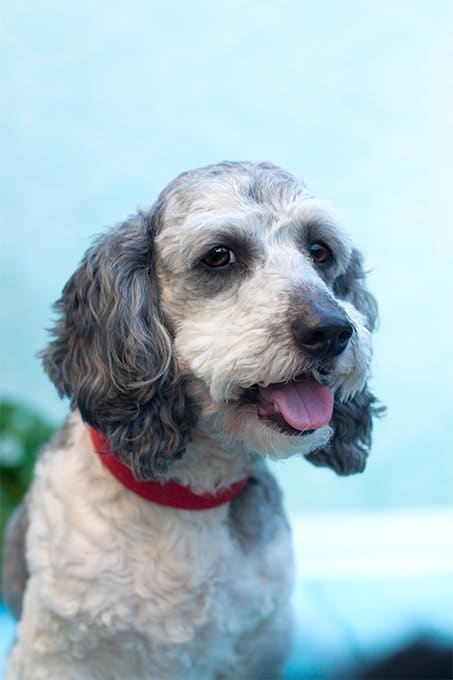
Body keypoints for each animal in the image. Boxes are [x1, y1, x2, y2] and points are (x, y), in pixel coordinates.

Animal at [3, 161, 380, 680]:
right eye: (219, 255)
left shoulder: (256, 649)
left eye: (320, 250)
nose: (331, 329)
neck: (189, 498)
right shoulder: (56, 656)